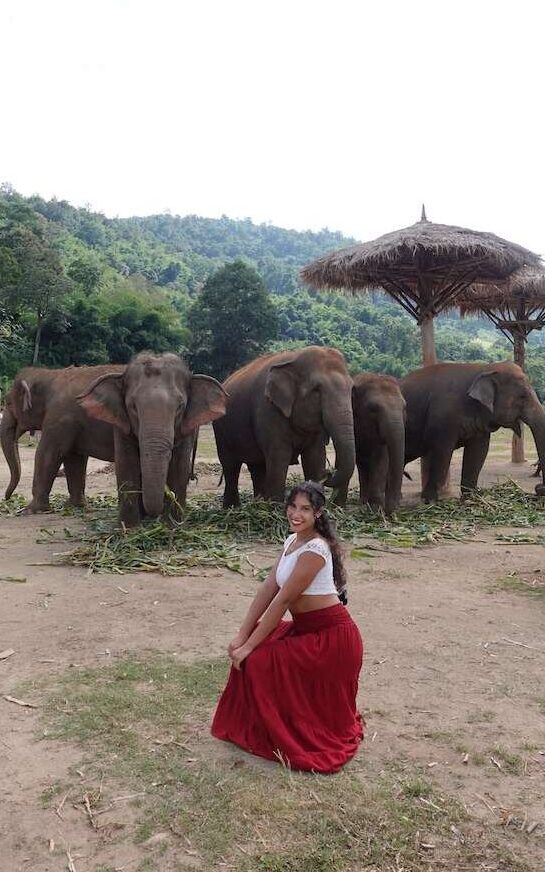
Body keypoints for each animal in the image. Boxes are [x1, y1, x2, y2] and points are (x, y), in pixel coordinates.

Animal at [1, 362, 124, 510]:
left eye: (8, 403)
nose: (7, 498)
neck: (49, 374)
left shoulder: (60, 419)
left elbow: (46, 454)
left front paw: (29, 510)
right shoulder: (72, 425)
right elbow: (74, 458)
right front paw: (75, 505)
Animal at [77, 352, 226, 524]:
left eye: (180, 407)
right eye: (133, 407)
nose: (155, 514)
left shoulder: (186, 428)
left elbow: (179, 466)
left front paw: (171, 524)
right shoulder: (122, 425)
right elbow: (127, 463)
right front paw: (129, 527)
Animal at [212, 344, 356, 508]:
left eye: (351, 389)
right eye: (316, 390)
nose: (329, 472)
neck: (295, 358)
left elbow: (315, 457)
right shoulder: (268, 410)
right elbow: (279, 458)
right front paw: (277, 508)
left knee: (257, 467)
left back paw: (259, 504)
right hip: (221, 430)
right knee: (231, 466)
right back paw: (232, 508)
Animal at [350, 372, 406, 516]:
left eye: (404, 407)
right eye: (373, 408)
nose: (390, 511)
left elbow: (381, 458)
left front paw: (376, 508)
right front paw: (375, 508)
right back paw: (363, 501)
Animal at [396, 362, 544, 500]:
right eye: (523, 396)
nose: (538, 487)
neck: (484, 368)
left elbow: (478, 452)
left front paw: (471, 497)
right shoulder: (443, 418)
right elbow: (442, 451)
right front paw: (430, 500)